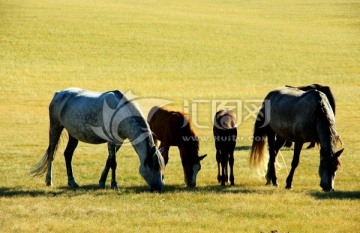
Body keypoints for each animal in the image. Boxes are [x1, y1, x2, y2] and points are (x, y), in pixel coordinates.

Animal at [31, 87, 165, 191]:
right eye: (154, 167)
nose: (159, 188)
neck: (120, 113)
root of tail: (58, 93)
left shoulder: (118, 141)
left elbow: (108, 161)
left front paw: (102, 182)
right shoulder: (111, 141)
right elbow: (113, 162)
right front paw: (114, 185)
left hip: (73, 135)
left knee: (68, 154)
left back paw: (72, 182)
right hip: (55, 128)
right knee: (51, 154)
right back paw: (49, 181)